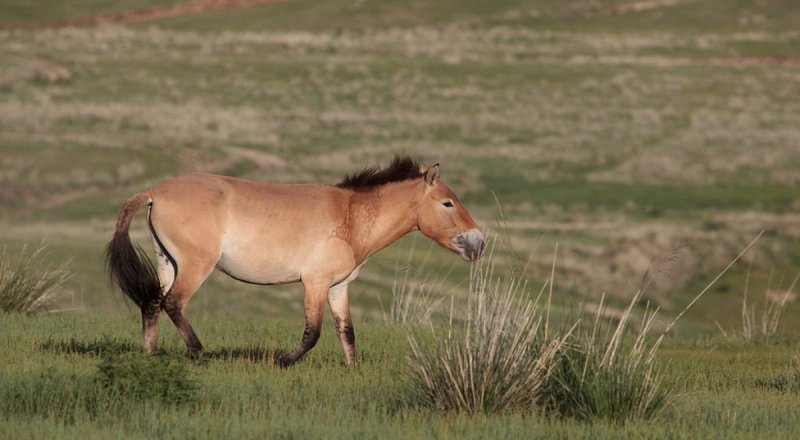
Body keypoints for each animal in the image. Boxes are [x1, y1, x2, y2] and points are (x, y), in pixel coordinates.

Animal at [104, 156, 484, 366]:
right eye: (448, 203)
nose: (479, 242)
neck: (351, 216)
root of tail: (155, 192)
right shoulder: (315, 283)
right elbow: (312, 332)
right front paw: (282, 361)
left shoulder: (338, 287)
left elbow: (347, 331)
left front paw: (353, 369)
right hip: (196, 266)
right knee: (173, 303)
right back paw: (198, 352)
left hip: (168, 262)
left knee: (153, 304)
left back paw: (151, 354)